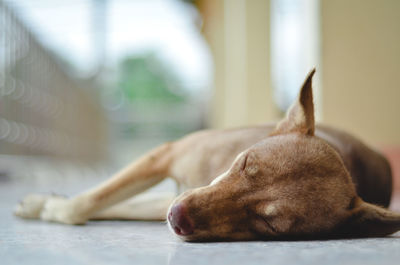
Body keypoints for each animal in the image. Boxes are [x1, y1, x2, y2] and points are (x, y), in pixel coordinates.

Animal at [14, 69, 398, 240]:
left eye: (268, 224)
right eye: (245, 163)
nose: (178, 217)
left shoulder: (177, 194)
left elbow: (100, 205)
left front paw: (54, 208)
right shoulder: (167, 155)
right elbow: (99, 197)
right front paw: (49, 204)